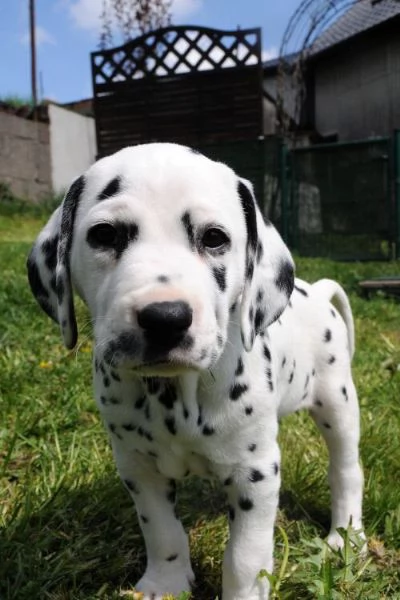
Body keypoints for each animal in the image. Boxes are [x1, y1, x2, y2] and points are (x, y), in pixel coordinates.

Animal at [26, 143, 364, 596]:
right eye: (104, 234)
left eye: (214, 238)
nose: (165, 318)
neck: (176, 395)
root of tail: (319, 292)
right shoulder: (137, 467)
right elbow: (161, 530)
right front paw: (165, 583)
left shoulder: (256, 474)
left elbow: (245, 557)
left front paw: (242, 593)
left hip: (337, 403)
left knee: (346, 469)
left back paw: (347, 535)